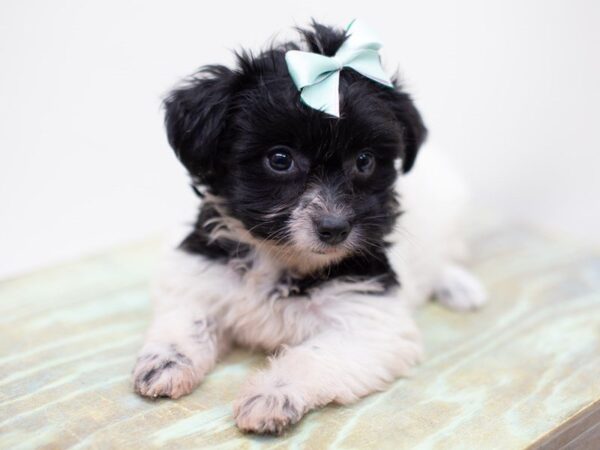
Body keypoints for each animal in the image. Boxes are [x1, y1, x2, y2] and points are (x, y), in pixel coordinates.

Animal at [132, 19, 488, 434]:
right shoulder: (198, 271)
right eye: (280, 159)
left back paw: (458, 286)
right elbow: (188, 316)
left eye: (364, 161)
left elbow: (313, 355)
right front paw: (166, 362)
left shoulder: (370, 319)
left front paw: (271, 394)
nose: (335, 228)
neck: (280, 257)